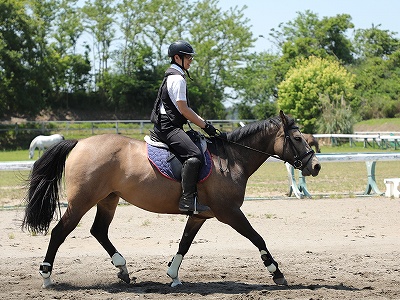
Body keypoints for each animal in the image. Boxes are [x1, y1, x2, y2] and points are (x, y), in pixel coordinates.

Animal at [21, 110, 322, 288]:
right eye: (297, 138)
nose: (316, 166)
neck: (230, 159)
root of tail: (80, 143)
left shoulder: (200, 215)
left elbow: (185, 243)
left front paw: (173, 276)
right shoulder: (230, 213)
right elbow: (257, 238)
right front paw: (277, 272)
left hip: (108, 199)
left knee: (99, 231)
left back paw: (123, 269)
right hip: (82, 201)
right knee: (60, 232)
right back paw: (46, 275)